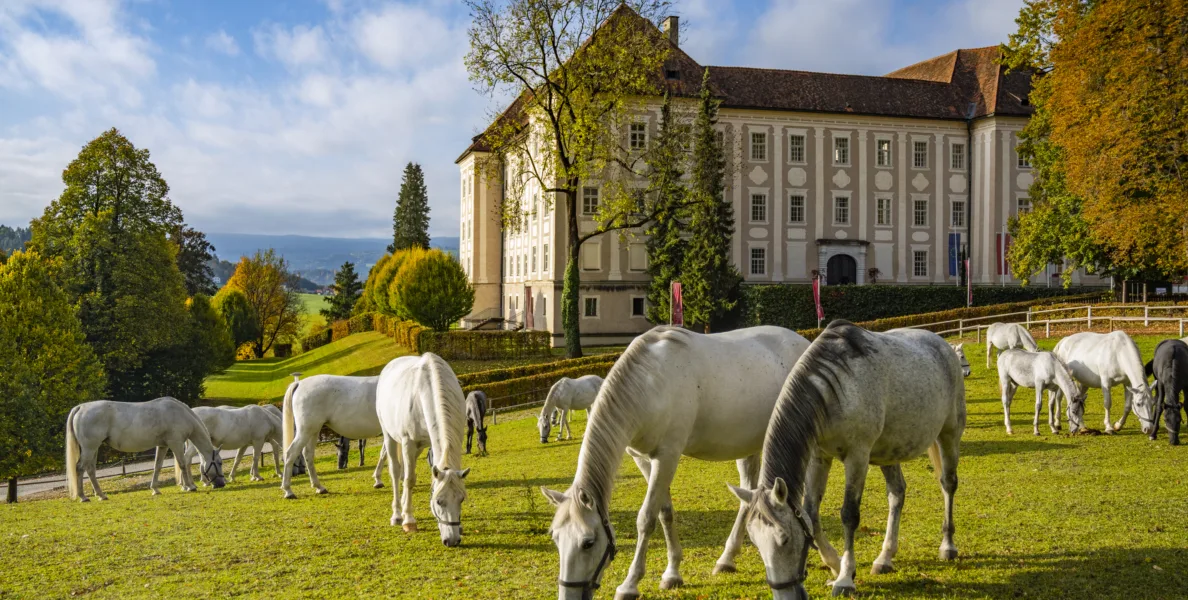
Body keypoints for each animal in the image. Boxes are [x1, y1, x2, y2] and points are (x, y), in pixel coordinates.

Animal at [65, 396, 225, 501]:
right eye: (219, 463)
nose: (222, 484)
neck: (180, 413)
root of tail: (81, 407)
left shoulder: (162, 445)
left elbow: (157, 467)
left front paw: (155, 489)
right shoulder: (176, 443)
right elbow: (182, 464)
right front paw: (190, 486)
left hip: (93, 449)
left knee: (90, 470)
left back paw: (101, 495)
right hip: (89, 448)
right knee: (80, 468)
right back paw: (83, 497)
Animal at [375, 354, 468, 544]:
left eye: (461, 499)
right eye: (438, 501)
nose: (452, 540)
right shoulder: (408, 442)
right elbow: (409, 480)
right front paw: (409, 521)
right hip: (390, 437)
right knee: (397, 472)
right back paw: (398, 515)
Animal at [544, 325, 812, 598]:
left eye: (588, 543)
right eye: (555, 537)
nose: (568, 595)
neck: (650, 383)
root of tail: (802, 341)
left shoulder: (667, 457)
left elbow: (646, 518)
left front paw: (630, 584)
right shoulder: (644, 460)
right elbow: (665, 513)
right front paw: (672, 574)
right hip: (749, 446)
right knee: (748, 496)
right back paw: (726, 559)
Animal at [722, 323, 964, 598]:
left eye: (784, 539)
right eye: (754, 542)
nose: (785, 595)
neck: (834, 388)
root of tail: (942, 345)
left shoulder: (857, 456)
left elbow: (849, 514)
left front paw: (845, 577)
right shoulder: (819, 457)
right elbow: (811, 513)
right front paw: (834, 565)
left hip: (950, 433)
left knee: (948, 483)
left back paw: (947, 545)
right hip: (889, 450)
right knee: (897, 494)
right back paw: (885, 557)